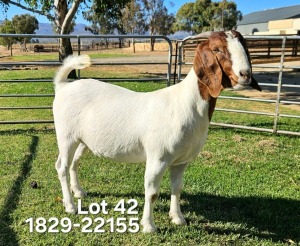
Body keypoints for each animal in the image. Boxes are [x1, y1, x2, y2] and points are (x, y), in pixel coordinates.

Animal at [52, 30, 262, 233]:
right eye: (217, 49)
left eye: (244, 45)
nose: (245, 74)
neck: (186, 104)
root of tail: (63, 86)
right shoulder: (158, 157)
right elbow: (152, 193)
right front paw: (148, 226)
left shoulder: (181, 161)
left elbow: (177, 188)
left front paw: (177, 218)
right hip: (66, 136)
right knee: (62, 166)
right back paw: (70, 205)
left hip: (82, 139)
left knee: (74, 163)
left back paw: (79, 192)